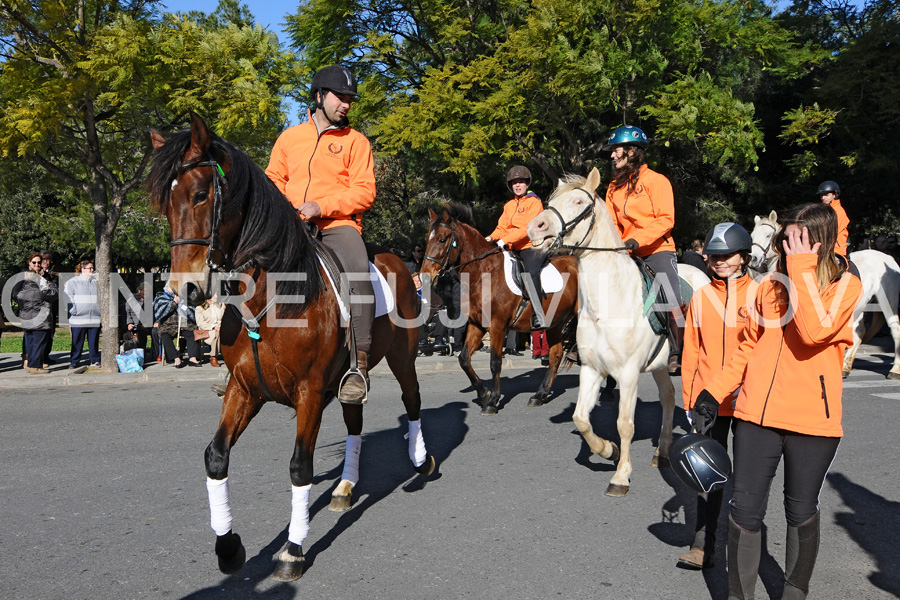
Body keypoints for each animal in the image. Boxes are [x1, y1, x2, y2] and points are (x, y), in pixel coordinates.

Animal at [148, 112, 436, 580]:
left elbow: (300, 467)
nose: (184, 290)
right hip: (348, 379)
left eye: (200, 193)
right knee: (355, 421)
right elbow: (216, 456)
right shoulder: (244, 389)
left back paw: (420, 461)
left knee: (412, 403)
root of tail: (398, 262)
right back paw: (345, 486)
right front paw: (228, 546)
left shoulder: (310, 393)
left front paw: (293, 549)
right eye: (164, 204)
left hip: (402, 359)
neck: (274, 298)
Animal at [420, 204, 580, 414]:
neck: (484, 273)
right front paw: (484, 394)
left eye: (441, 239)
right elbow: (464, 359)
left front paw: (493, 401)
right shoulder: (477, 325)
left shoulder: (497, 327)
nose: (424, 276)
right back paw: (539, 395)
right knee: (556, 355)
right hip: (554, 323)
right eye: (427, 239)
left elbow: (495, 363)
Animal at [528, 169, 712, 496]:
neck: (608, 301)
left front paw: (621, 475)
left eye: (578, 201)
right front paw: (607, 450)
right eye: (550, 202)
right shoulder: (592, 369)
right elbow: (581, 418)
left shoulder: (627, 374)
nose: (535, 227)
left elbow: (625, 424)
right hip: (660, 366)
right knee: (668, 397)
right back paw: (661, 451)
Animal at [744, 211, 900, 380]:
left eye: (768, 235)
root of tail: (889, 258)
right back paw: (845, 367)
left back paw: (895, 370)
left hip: (887, 303)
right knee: (859, 332)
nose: (753, 259)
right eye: (752, 236)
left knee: (895, 328)